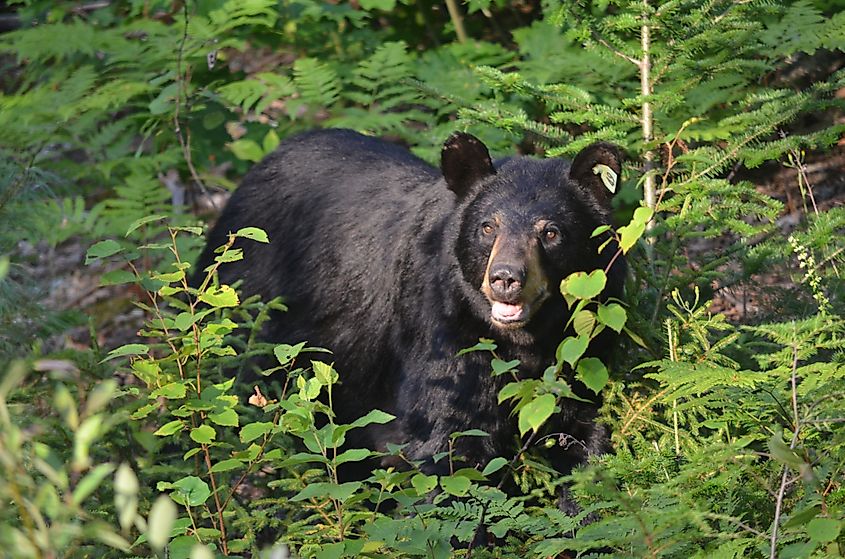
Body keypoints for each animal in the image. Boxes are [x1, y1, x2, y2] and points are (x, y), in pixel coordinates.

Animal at [196, 130, 620, 508]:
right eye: (488, 226)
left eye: (551, 232)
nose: (506, 278)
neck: (521, 342)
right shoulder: (443, 335)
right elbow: (448, 445)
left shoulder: (584, 347)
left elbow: (585, 439)